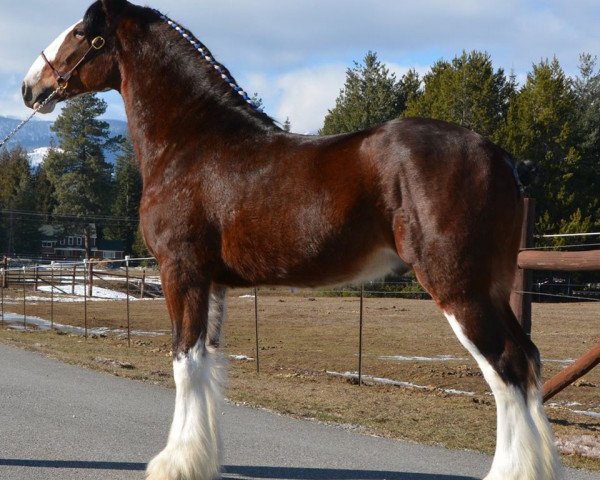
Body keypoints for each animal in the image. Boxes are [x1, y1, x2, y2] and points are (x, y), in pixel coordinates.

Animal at [21, 1, 560, 478]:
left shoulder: (181, 272)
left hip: (458, 287)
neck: (192, 143)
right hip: (490, 287)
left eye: (82, 31)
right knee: (529, 360)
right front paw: (201, 460)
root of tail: (503, 158)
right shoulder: (214, 284)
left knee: (507, 367)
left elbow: (183, 362)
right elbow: (208, 365)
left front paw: (173, 464)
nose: (29, 87)